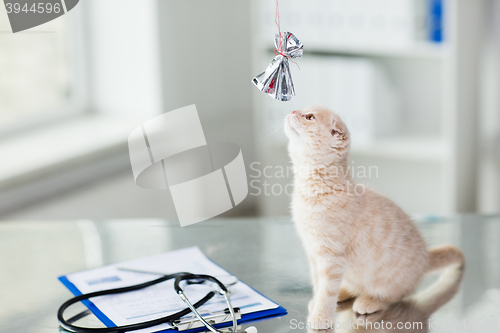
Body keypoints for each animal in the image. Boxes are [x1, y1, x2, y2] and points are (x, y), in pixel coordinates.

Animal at [286, 106, 464, 330]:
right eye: (302, 110)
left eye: (310, 117)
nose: (292, 110)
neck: (313, 188)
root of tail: (425, 257)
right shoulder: (313, 253)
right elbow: (319, 284)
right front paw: (318, 303)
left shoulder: (332, 257)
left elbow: (326, 289)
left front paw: (321, 316)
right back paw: (343, 293)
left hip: (389, 283)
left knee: (394, 296)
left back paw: (369, 301)